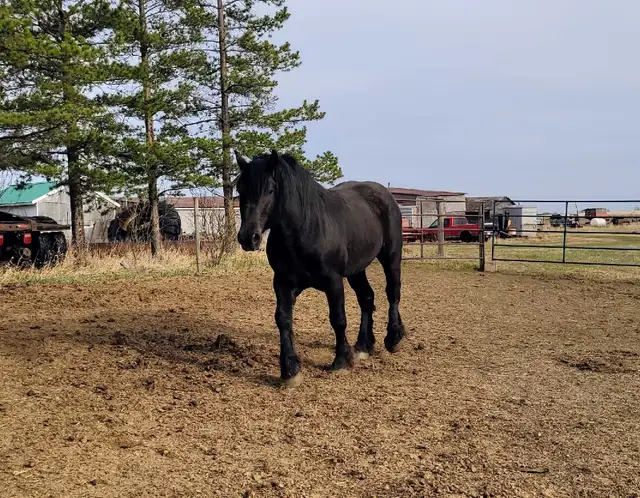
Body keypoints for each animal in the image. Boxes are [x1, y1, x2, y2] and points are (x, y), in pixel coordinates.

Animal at [234, 150, 405, 387]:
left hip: (391, 257)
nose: (248, 238)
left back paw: (393, 338)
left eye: (270, 190)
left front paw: (341, 362)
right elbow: (283, 320)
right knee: (367, 297)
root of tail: (384, 194)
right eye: (240, 189)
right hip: (356, 270)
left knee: (392, 293)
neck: (305, 230)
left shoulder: (333, 281)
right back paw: (363, 346)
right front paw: (290, 371)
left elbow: (338, 319)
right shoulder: (282, 283)